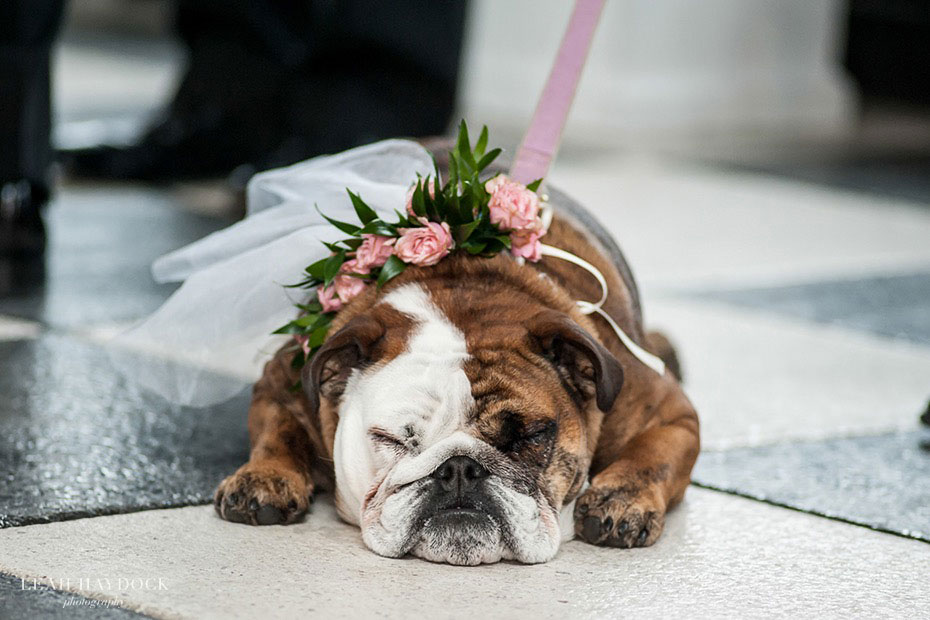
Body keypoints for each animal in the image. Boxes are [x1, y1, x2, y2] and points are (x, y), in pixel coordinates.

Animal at [212, 156, 696, 568]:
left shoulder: (669, 412)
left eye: (531, 436)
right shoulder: (283, 381)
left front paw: (621, 498)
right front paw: (264, 477)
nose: (460, 468)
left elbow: (653, 455)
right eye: (392, 440)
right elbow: (278, 430)